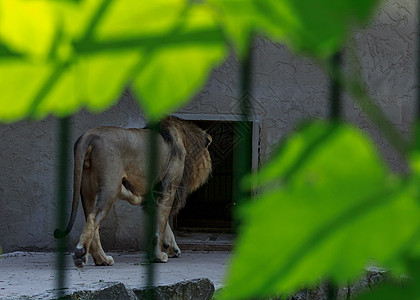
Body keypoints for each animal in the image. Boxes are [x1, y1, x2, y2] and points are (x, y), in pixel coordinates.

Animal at [55, 116, 213, 268]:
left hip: (88, 190)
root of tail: (90, 135)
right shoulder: (168, 188)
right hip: (110, 187)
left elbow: (162, 224)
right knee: (93, 218)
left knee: (93, 224)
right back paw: (80, 255)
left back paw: (102, 260)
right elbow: (160, 224)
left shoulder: (153, 195)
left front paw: (171, 248)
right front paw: (158, 257)